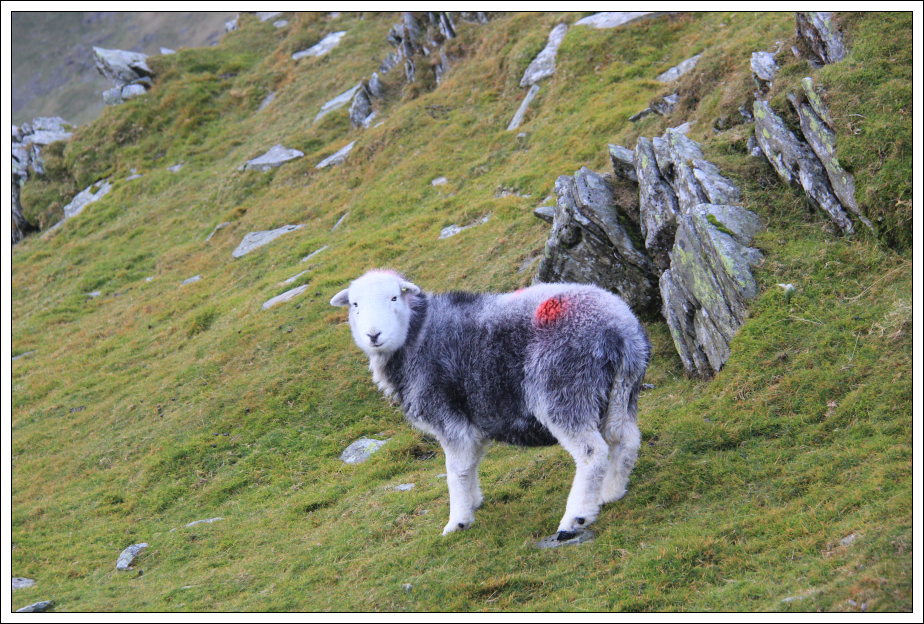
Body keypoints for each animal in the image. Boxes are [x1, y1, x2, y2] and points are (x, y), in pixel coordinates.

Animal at [330, 269, 650, 539]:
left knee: (592, 452)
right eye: (355, 304)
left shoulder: (448, 417)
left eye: (394, 297)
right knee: (625, 440)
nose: (373, 335)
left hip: (564, 390)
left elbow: (455, 471)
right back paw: (610, 493)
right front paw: (473, 502)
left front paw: (457, 521)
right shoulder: (473, 420)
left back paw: (576, 518)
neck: (417, 335)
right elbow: (470, 465)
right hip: (622, 390)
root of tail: (617, 329)